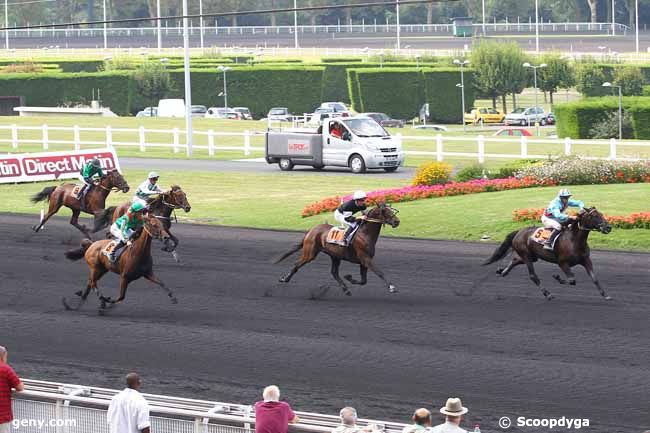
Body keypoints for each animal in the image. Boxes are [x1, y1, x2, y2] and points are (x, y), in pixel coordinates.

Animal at [480, 208, 612, 298]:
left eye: (601, 214)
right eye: (594, 216)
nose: (608, 227)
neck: (574, 240)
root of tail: (519, 231)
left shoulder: (586, 260)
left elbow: (594, 278)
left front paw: (605, 295)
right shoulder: (562, 263)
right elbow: (572, 280)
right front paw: (557, 277)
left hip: (531, 256)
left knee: (515, 261)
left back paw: (501, 271)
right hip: (527, 255)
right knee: (533, 276)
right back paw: (547, 294)